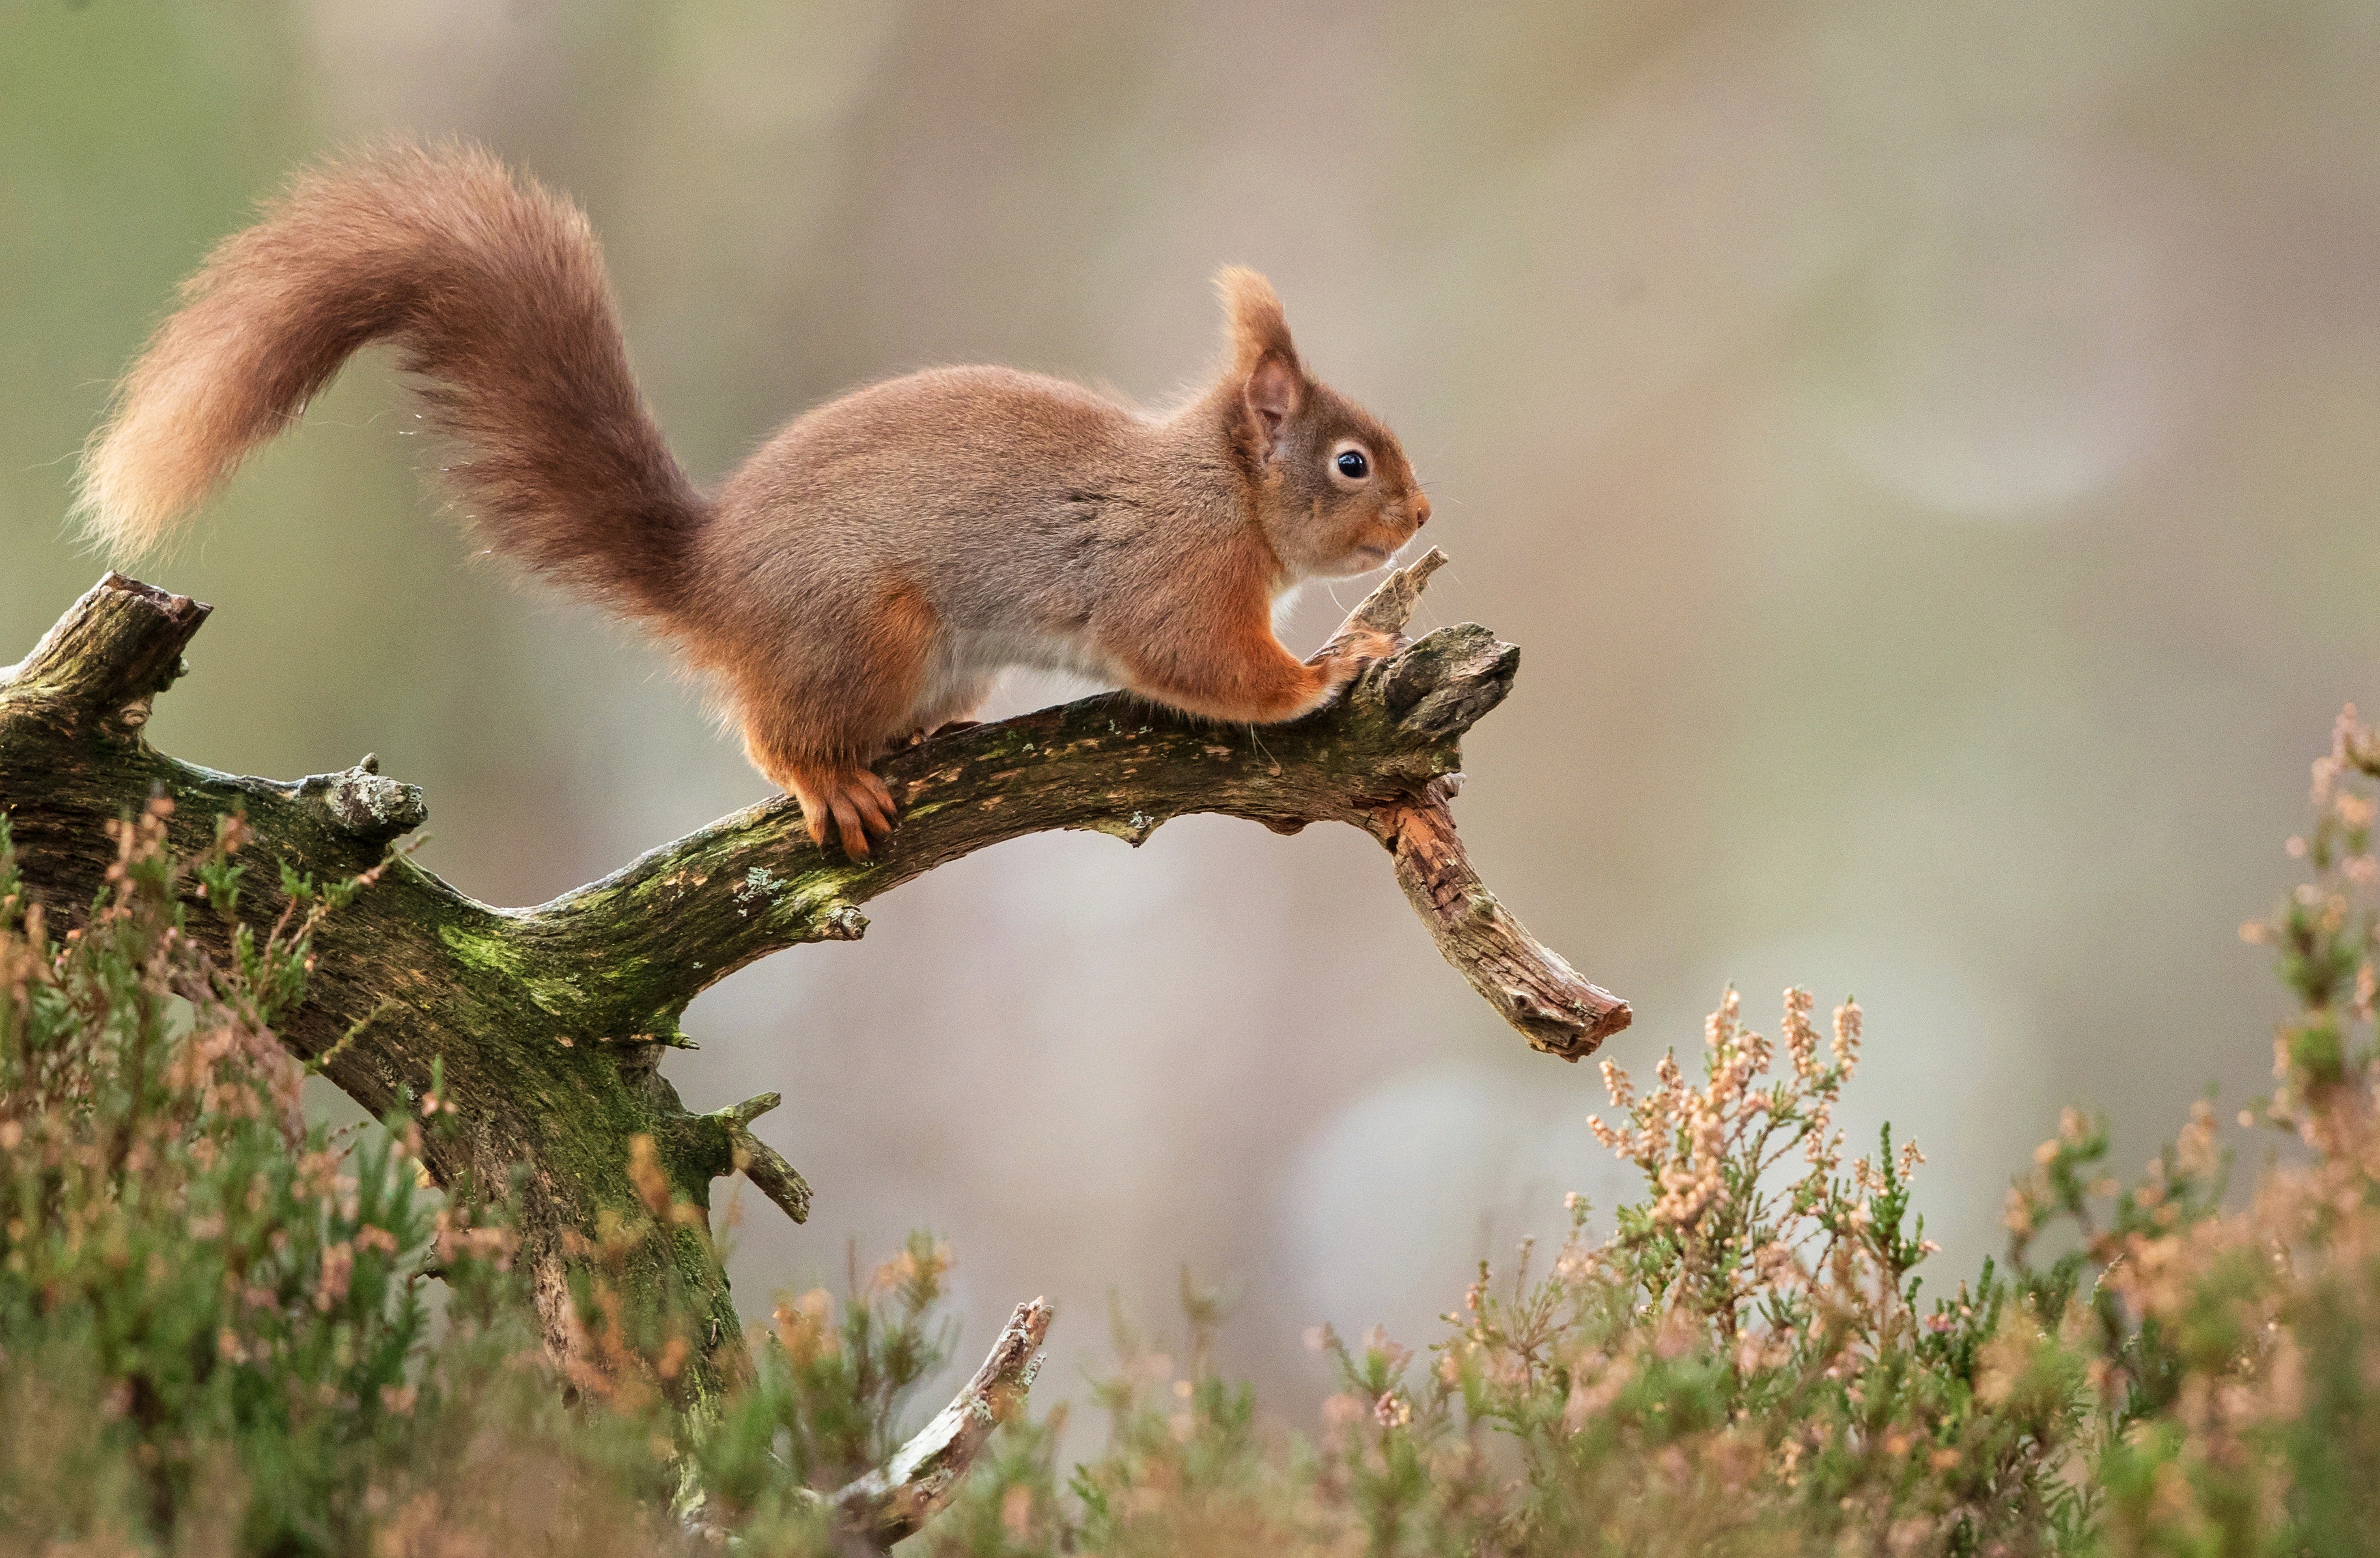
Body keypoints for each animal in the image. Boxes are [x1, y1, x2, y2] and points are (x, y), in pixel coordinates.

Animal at [76, 143, 1430, 860]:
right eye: (1351, 463)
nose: (1421, 518)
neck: (1225, 489)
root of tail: (709, 581)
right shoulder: (1173, 574)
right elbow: (1204, 663)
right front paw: (1328, 668)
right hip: (863, 632)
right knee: (769, 733)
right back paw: (827, 776)